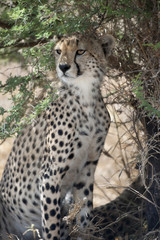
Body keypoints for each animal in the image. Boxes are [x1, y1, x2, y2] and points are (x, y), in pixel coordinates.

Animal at [0, 32, 115, 239]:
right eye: (58, 51)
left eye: (80, 51)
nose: (63, 67)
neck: (85, 96)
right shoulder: (49, 175)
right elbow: (51, 224)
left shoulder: (87, 168)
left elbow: (84, 212)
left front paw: (85, 233)